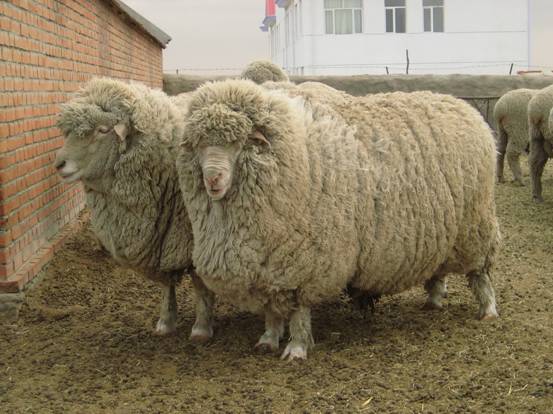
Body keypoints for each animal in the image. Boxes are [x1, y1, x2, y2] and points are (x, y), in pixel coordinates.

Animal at [55, 78, 214, 340]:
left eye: (102, 130)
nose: (59, 164)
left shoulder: (193, 236)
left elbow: (199, 282)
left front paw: (202, 326)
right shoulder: (161, 239)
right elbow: (166, 284)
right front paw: (165, 321)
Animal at [176, 79, 500, 360]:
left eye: (238, 143)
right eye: (198, 145)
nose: (212, 179)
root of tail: (464, 107)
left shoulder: (307, 263)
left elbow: (299, 311)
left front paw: (296, 348)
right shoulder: (269, 265)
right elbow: (273, 310)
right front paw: (268, 339)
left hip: (475, 227)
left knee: (480, 273)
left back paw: (488, 310)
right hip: (443, 230)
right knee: (438, 269)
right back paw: (433, 300)